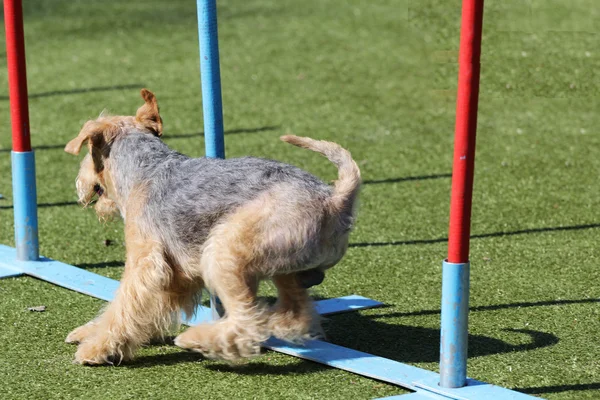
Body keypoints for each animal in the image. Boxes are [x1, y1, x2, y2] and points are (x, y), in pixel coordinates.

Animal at [64, 90, 360, 366]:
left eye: (88, 153)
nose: (79, 184)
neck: (144, 171)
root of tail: (335, 200)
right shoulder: (177, 276)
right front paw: (90, 334)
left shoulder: (145, 263)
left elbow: (123, 305)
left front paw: (96, 349)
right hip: (283, 270)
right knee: (295, 314)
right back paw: (276, 324)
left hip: (224, 252)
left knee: (248, 322)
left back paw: (196, 340)